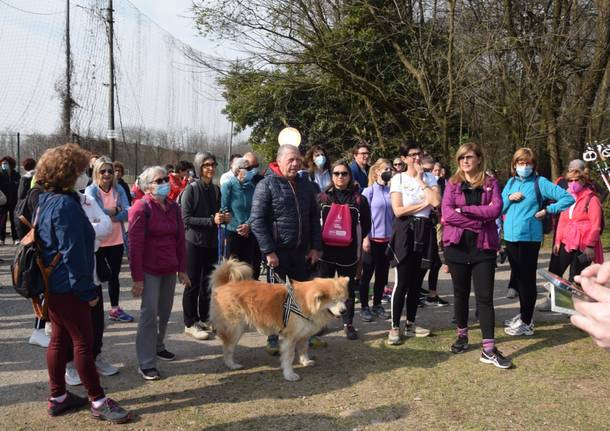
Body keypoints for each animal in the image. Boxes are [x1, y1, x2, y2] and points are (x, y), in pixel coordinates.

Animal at [210, 260, 346, 382]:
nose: (344, 311)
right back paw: (231, 365)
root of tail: (225, 284)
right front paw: (289, 374)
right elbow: (289, 357)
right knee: (227, 348)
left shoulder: (304, 335)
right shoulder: (290, 338)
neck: (305, 303)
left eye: (344, 299)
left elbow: (303, 350)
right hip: (235, 329)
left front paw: (305, 362)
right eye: (334, 301)